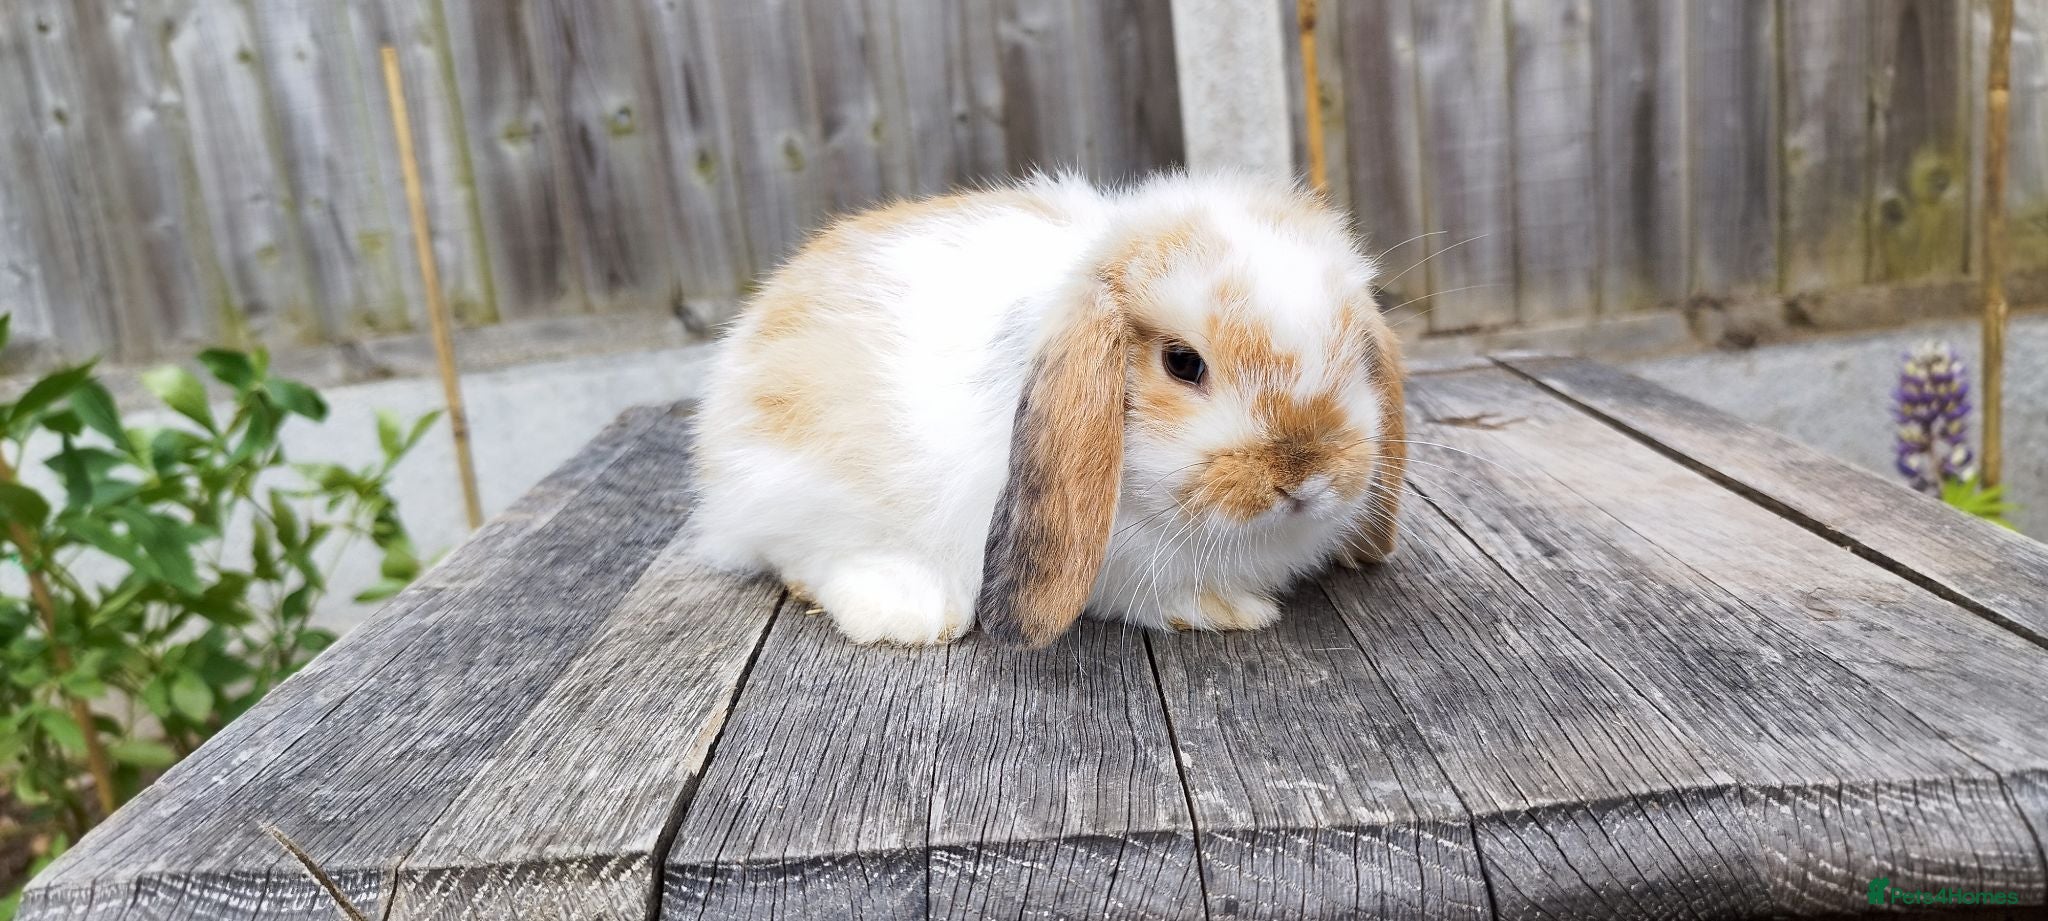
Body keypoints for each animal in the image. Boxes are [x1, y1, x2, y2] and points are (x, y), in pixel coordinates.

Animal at [690, 171, 1406, 647]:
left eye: (1353, 352)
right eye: (1182, 362)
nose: (1304, 474)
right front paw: (1229, 609)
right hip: (793, 485)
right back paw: (913, 614)